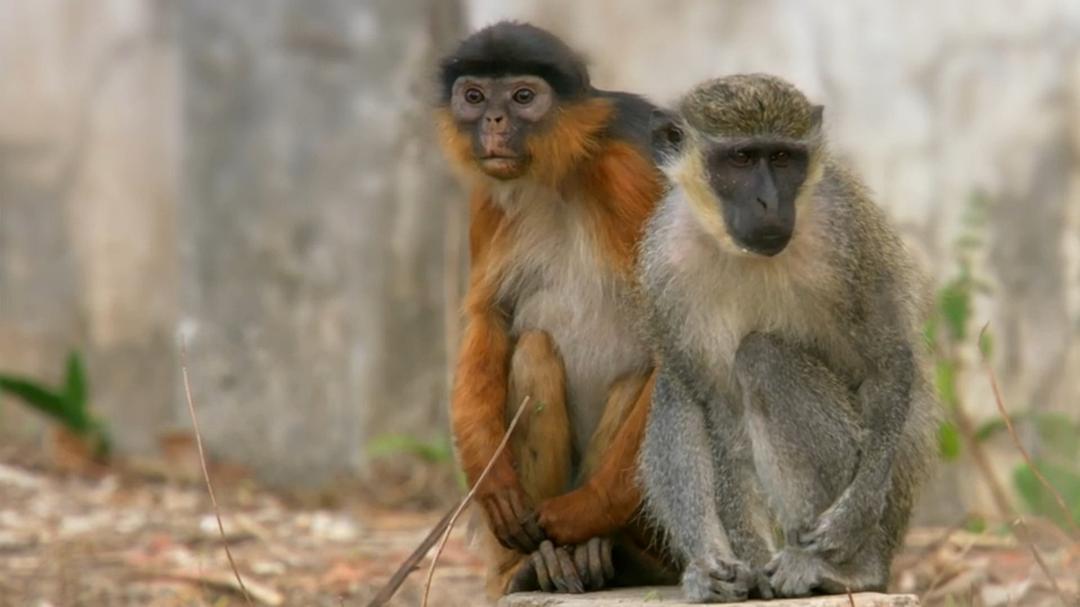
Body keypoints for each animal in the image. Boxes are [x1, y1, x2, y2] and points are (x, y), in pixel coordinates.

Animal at [435, 22, 677, 597]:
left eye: (523, 97)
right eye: (474, 97)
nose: (494, 121)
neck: (562, 173)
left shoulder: (628, 172)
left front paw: (579, 516)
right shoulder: (489, 194)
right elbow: (491, 316)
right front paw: (492, 484)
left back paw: (621, 554)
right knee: (533, 350)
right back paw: (533, 565)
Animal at [636, 74, 939, 601]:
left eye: (781, 158)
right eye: (740, 159)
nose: (768, 202)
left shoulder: (847, 230)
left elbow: (888, 364)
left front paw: (851, 518)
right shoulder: (663, 267)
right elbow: (720, 413)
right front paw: (747, 563)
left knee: (763, 357)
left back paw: (842, 570)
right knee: (680, 385)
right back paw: (711, 568)